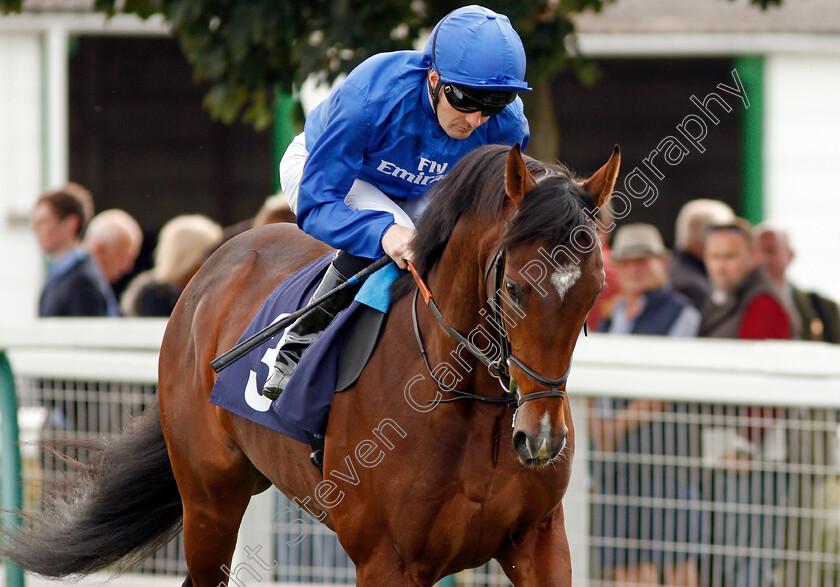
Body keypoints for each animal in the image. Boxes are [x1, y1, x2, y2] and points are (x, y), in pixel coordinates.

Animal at [0, 144, 616, 587]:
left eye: (593, 292)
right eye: (514, 288)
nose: (541, 438)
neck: (464, 401)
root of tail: (212, 267)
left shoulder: (538, 542)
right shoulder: (387, 559)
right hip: (208, 501)